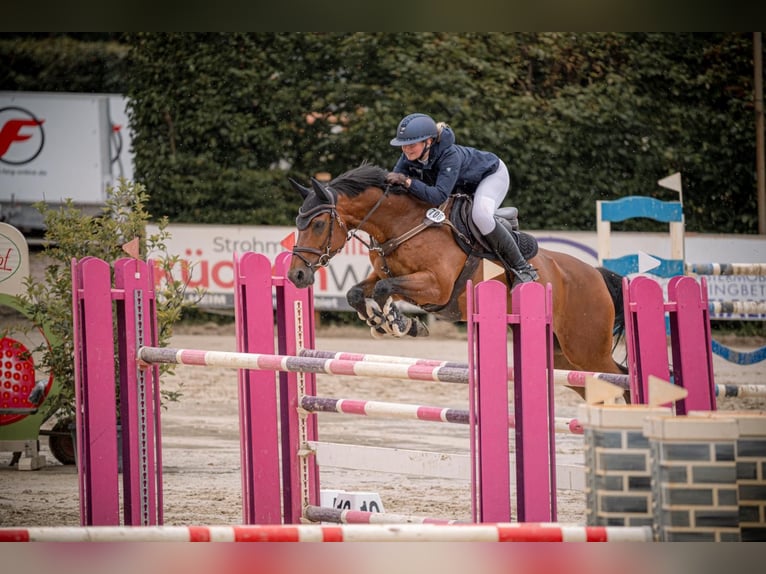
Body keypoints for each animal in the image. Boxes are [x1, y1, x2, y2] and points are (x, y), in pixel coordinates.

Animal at [286, 163, 627, 391]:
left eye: (318, 224)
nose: (296, 275)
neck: (402, 224)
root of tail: (596, 275)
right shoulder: (389, 275)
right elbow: (358, 292)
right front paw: (385, 322)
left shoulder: (436, 286)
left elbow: (384, 289)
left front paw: (398, 323)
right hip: (564, 357)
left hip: (586, 347)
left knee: (619, 377)